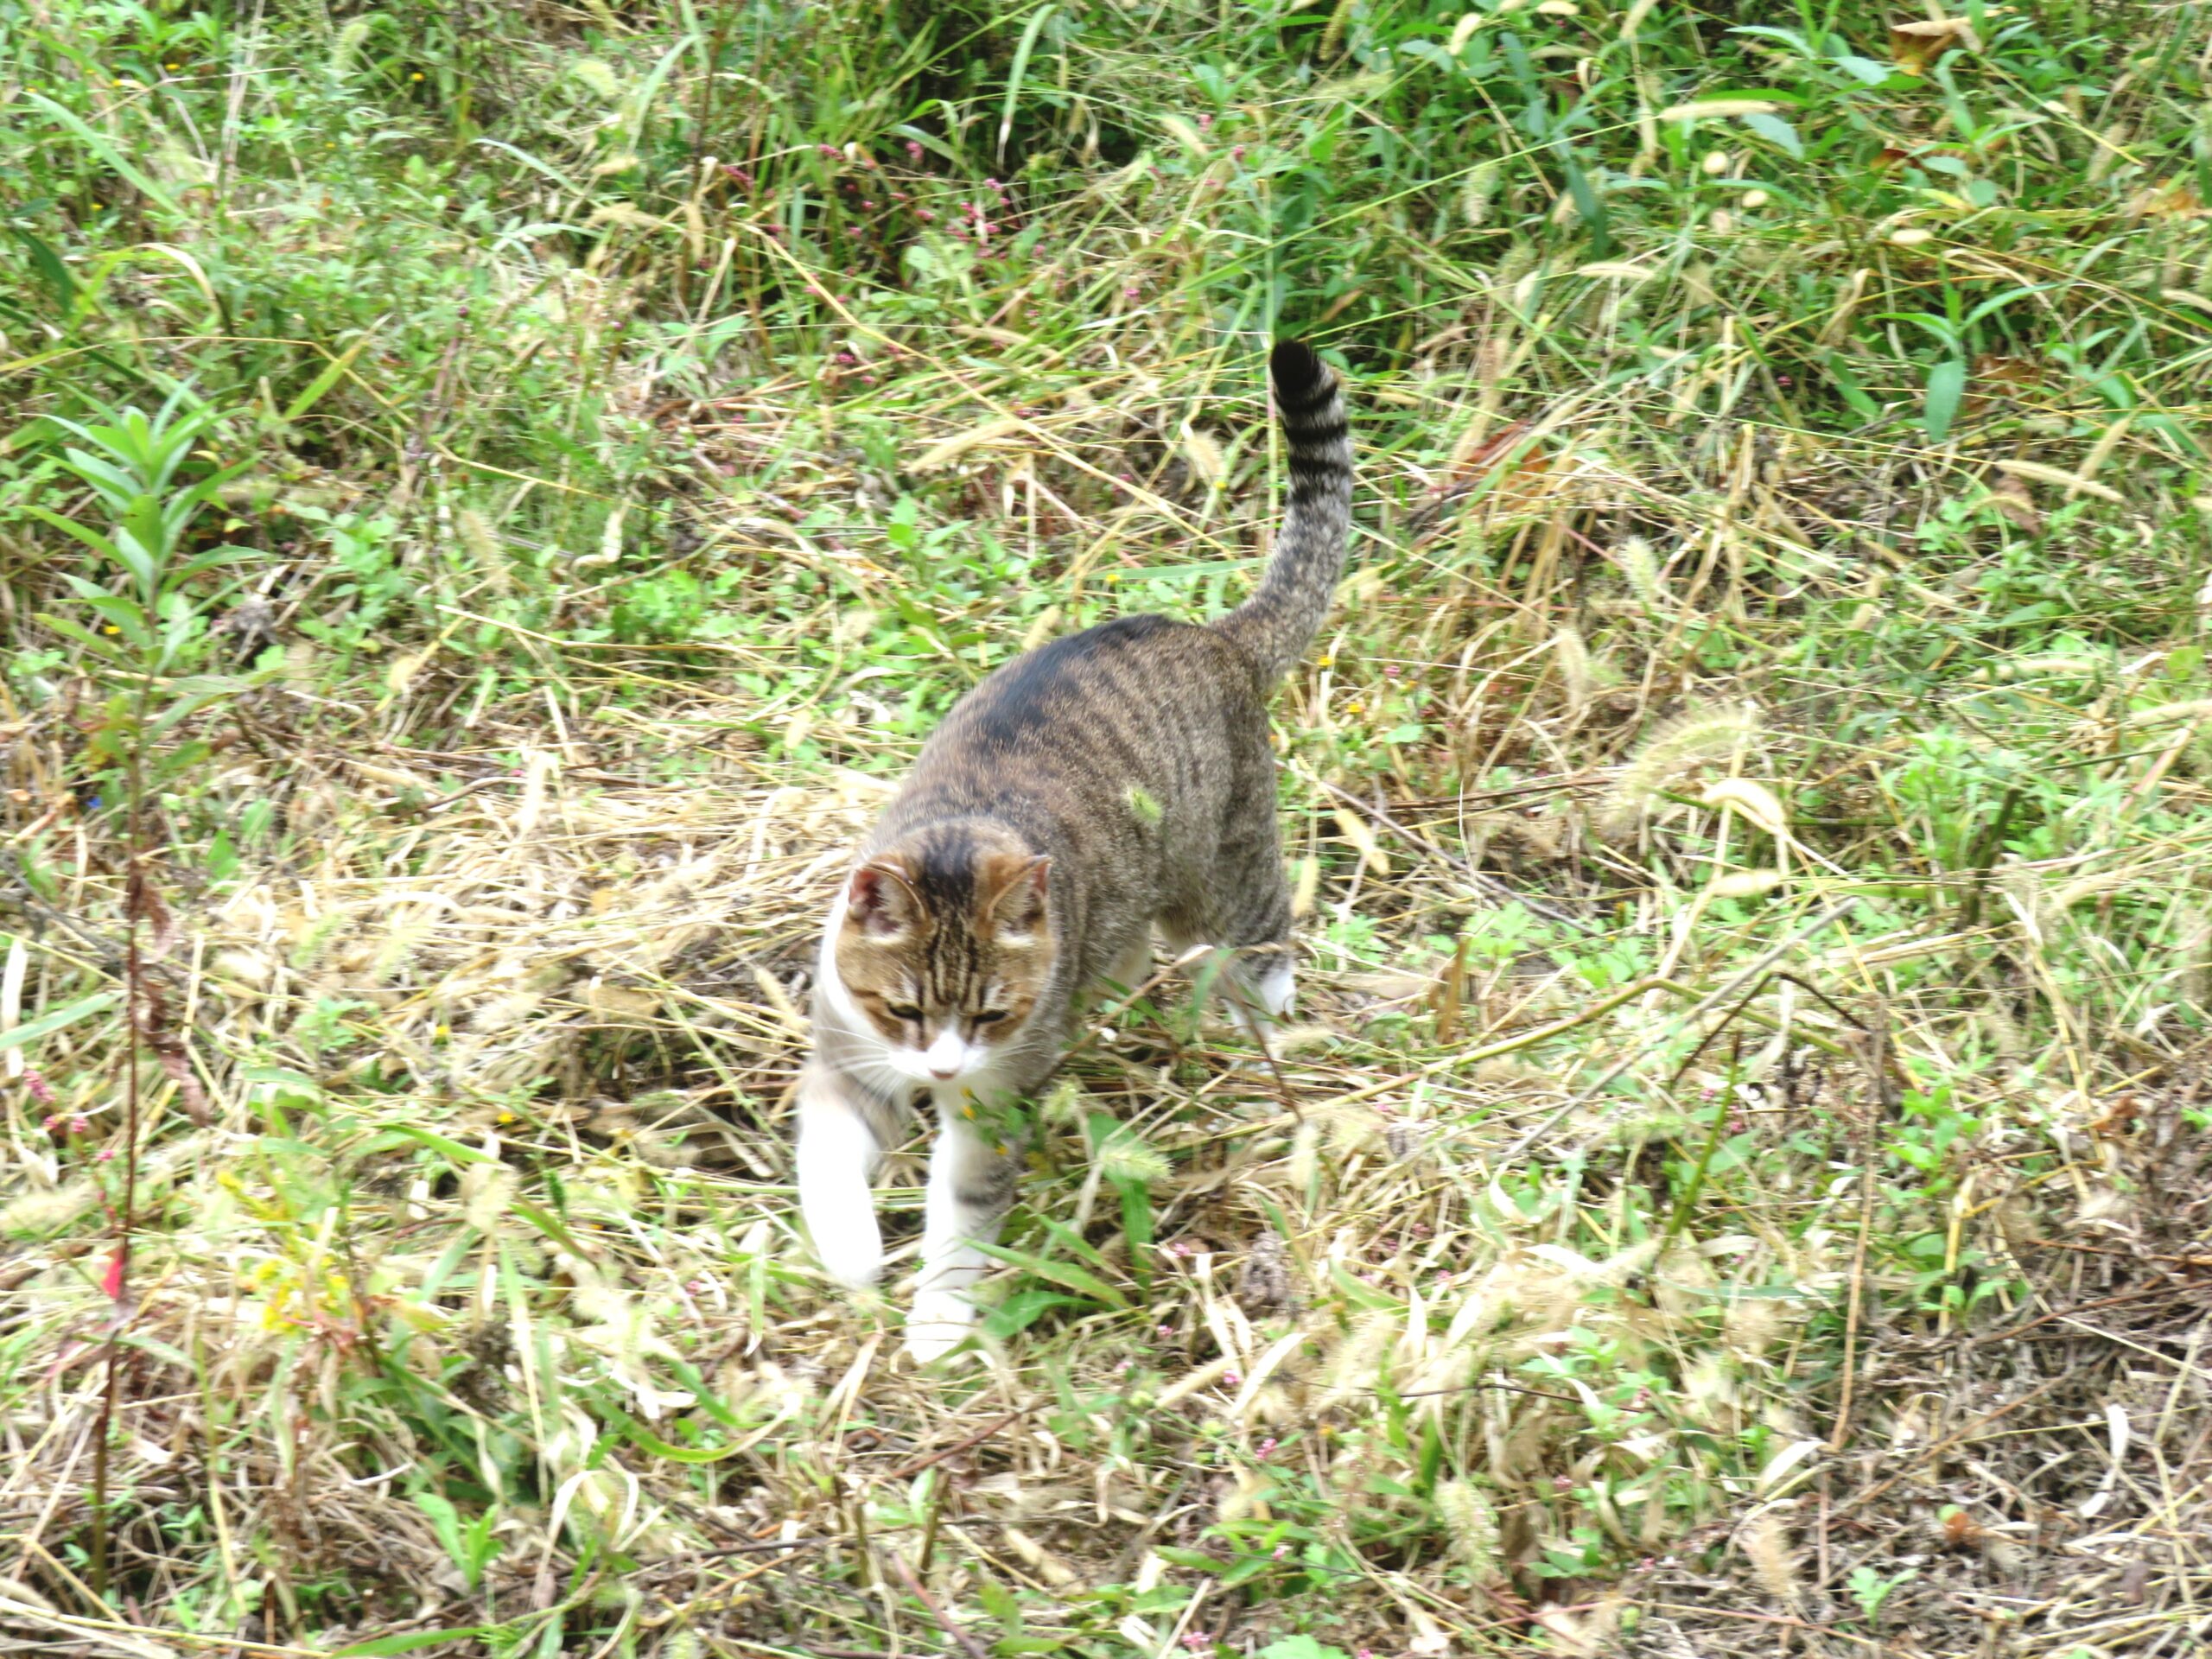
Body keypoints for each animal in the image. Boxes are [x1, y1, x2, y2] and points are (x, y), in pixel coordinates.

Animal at [791, 340, 1344, 1362]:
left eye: (992, 1014)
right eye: (903, 1007)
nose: (941, 1070)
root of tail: (1212, 638)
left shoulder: (991, 1104)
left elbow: (964, 1212)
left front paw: (939, 1319)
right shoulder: (848, 1057)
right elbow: (826, 1163)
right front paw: (852, 1255)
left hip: (1223, 874)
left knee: (1264, 940)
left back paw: (1265, 1034)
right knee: (1128, 949)